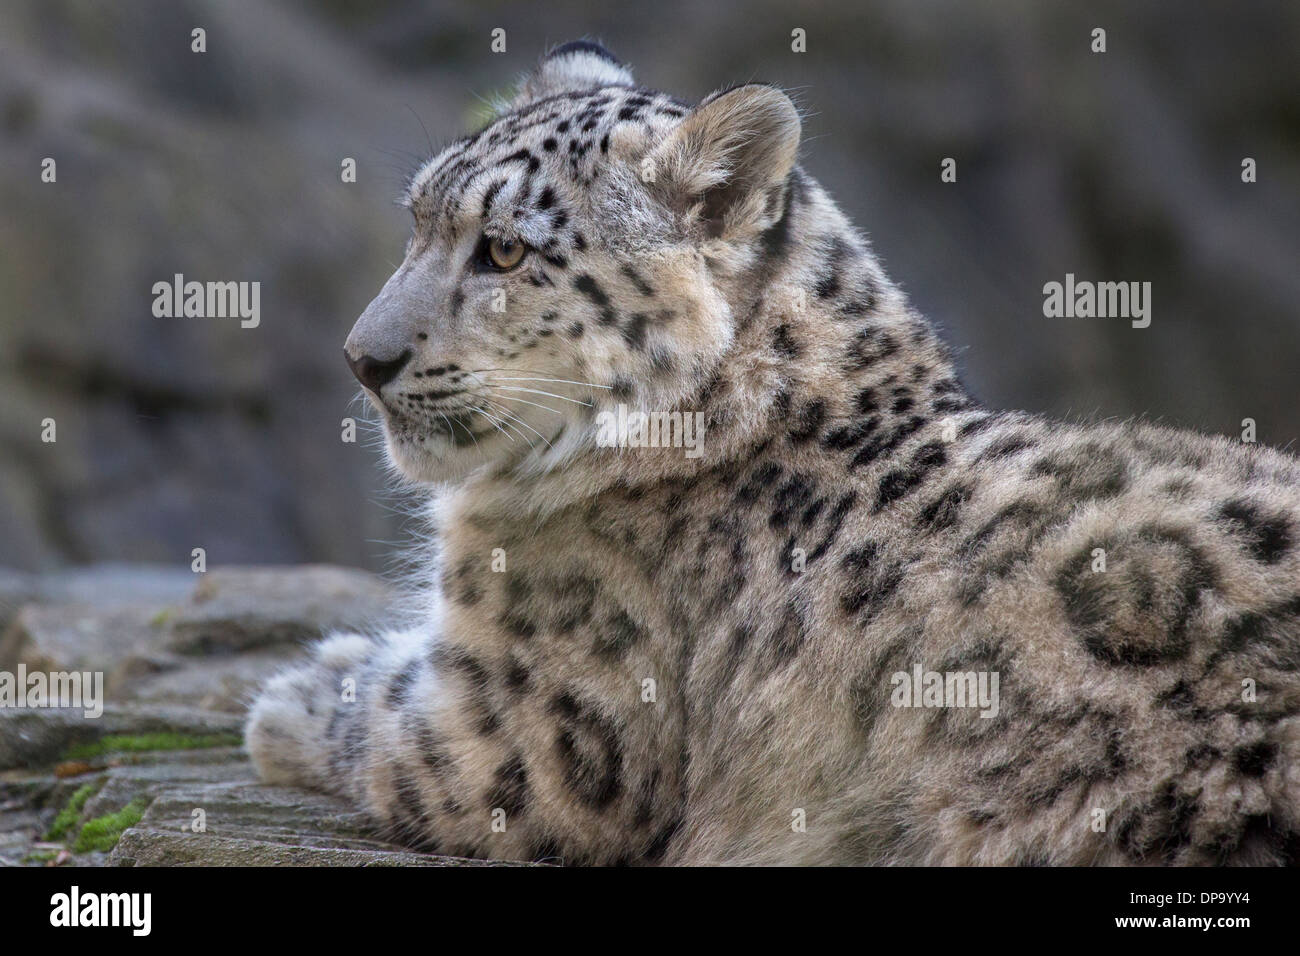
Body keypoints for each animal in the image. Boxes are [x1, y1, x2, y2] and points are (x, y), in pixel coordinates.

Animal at [246, 40, 1300, 865]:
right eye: (416, 219)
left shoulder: (514, 740)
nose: (362, 357)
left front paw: (293, 694)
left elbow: (383, 721)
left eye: (504, 249)